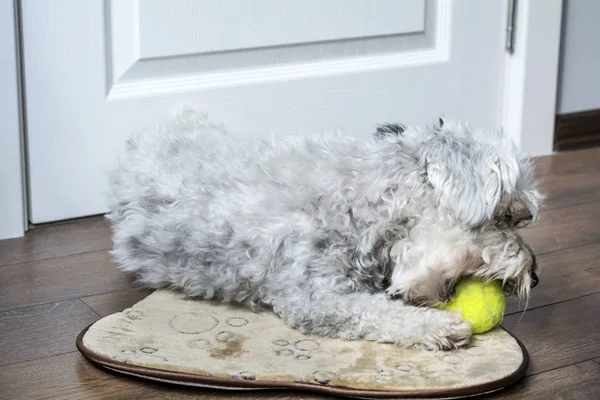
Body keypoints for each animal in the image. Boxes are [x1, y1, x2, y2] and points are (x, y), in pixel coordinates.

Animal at [108, 112, 544, 350]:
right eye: (506, 218)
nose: (535, 276)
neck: (362, 200)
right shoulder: (312, 296)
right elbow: (373, 311)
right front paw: (438, 328)